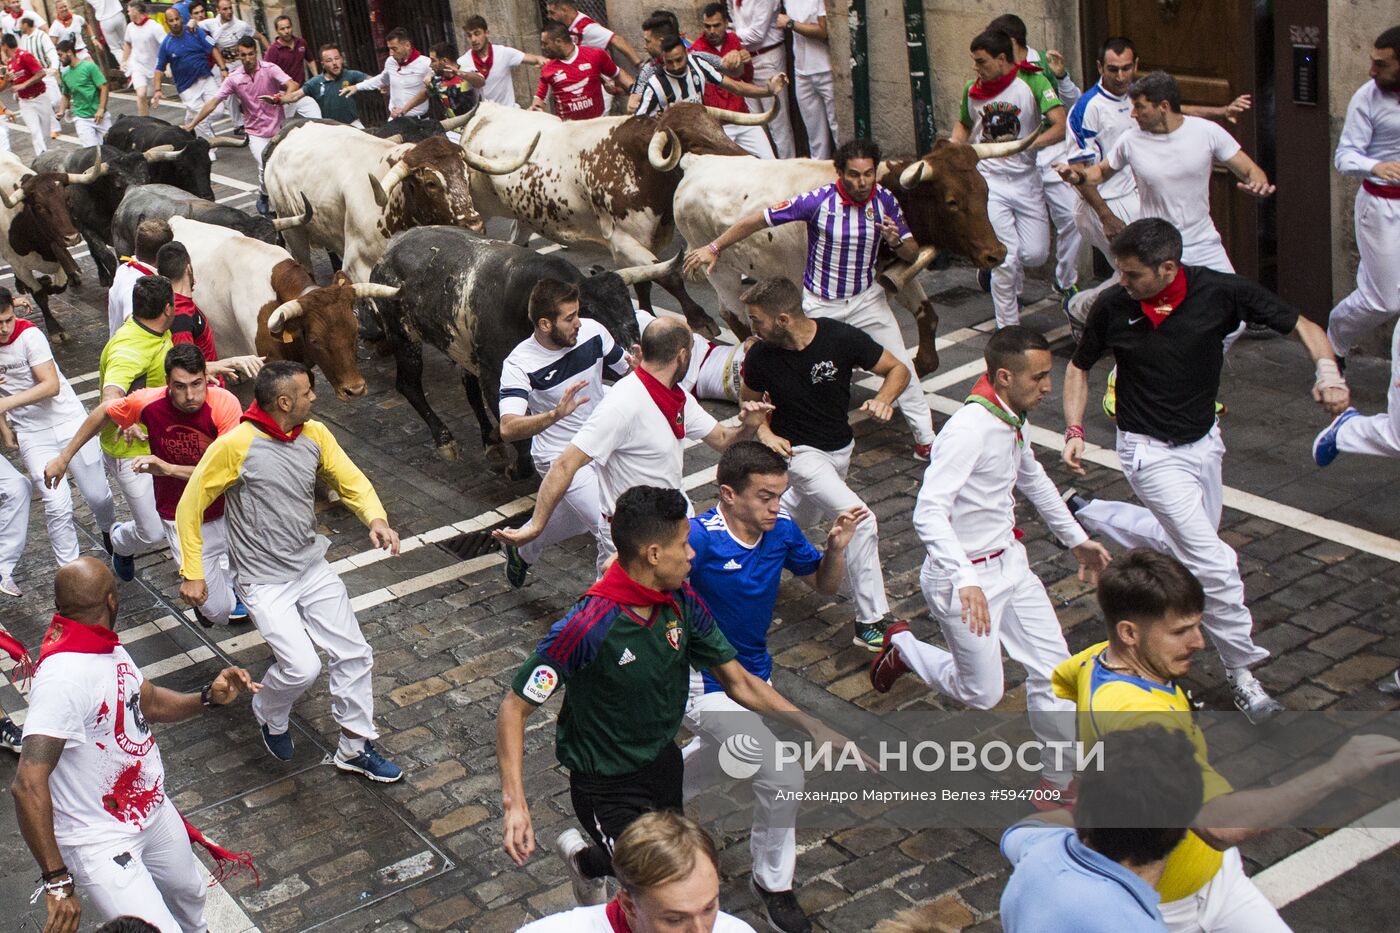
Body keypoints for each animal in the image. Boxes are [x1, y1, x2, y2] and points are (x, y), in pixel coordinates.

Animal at [361, 221, 644, 476]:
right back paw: (445, 441)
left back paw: (492, 443)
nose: (634, 363)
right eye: (597, 323)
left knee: (470, 392)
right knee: (408, 384)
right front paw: (518, 469)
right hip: (403, 337)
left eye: (633, 319)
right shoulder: (495, 376)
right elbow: (521, 436)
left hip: (462, 349)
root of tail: (394, 245)